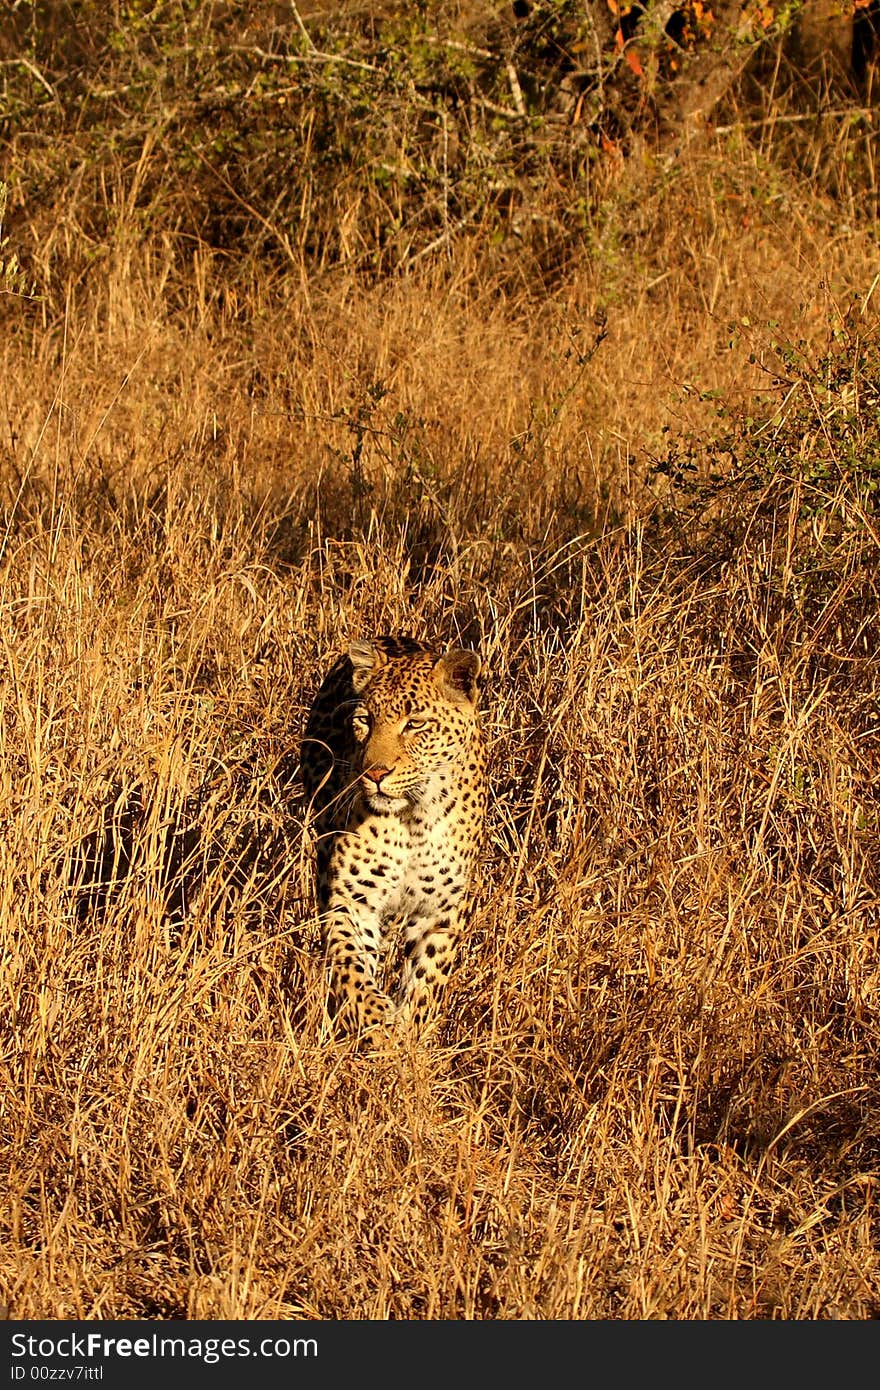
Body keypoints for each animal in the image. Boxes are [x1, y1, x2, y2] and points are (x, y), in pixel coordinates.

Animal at [298, 636, 483, 1039]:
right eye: (365, 720)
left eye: (415, 724)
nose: (374, 773)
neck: (413, 819)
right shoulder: (352, 902)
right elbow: (352, 970)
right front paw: (378, 1024)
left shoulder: (440, 913)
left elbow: (426, 982)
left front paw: (409, 1038)